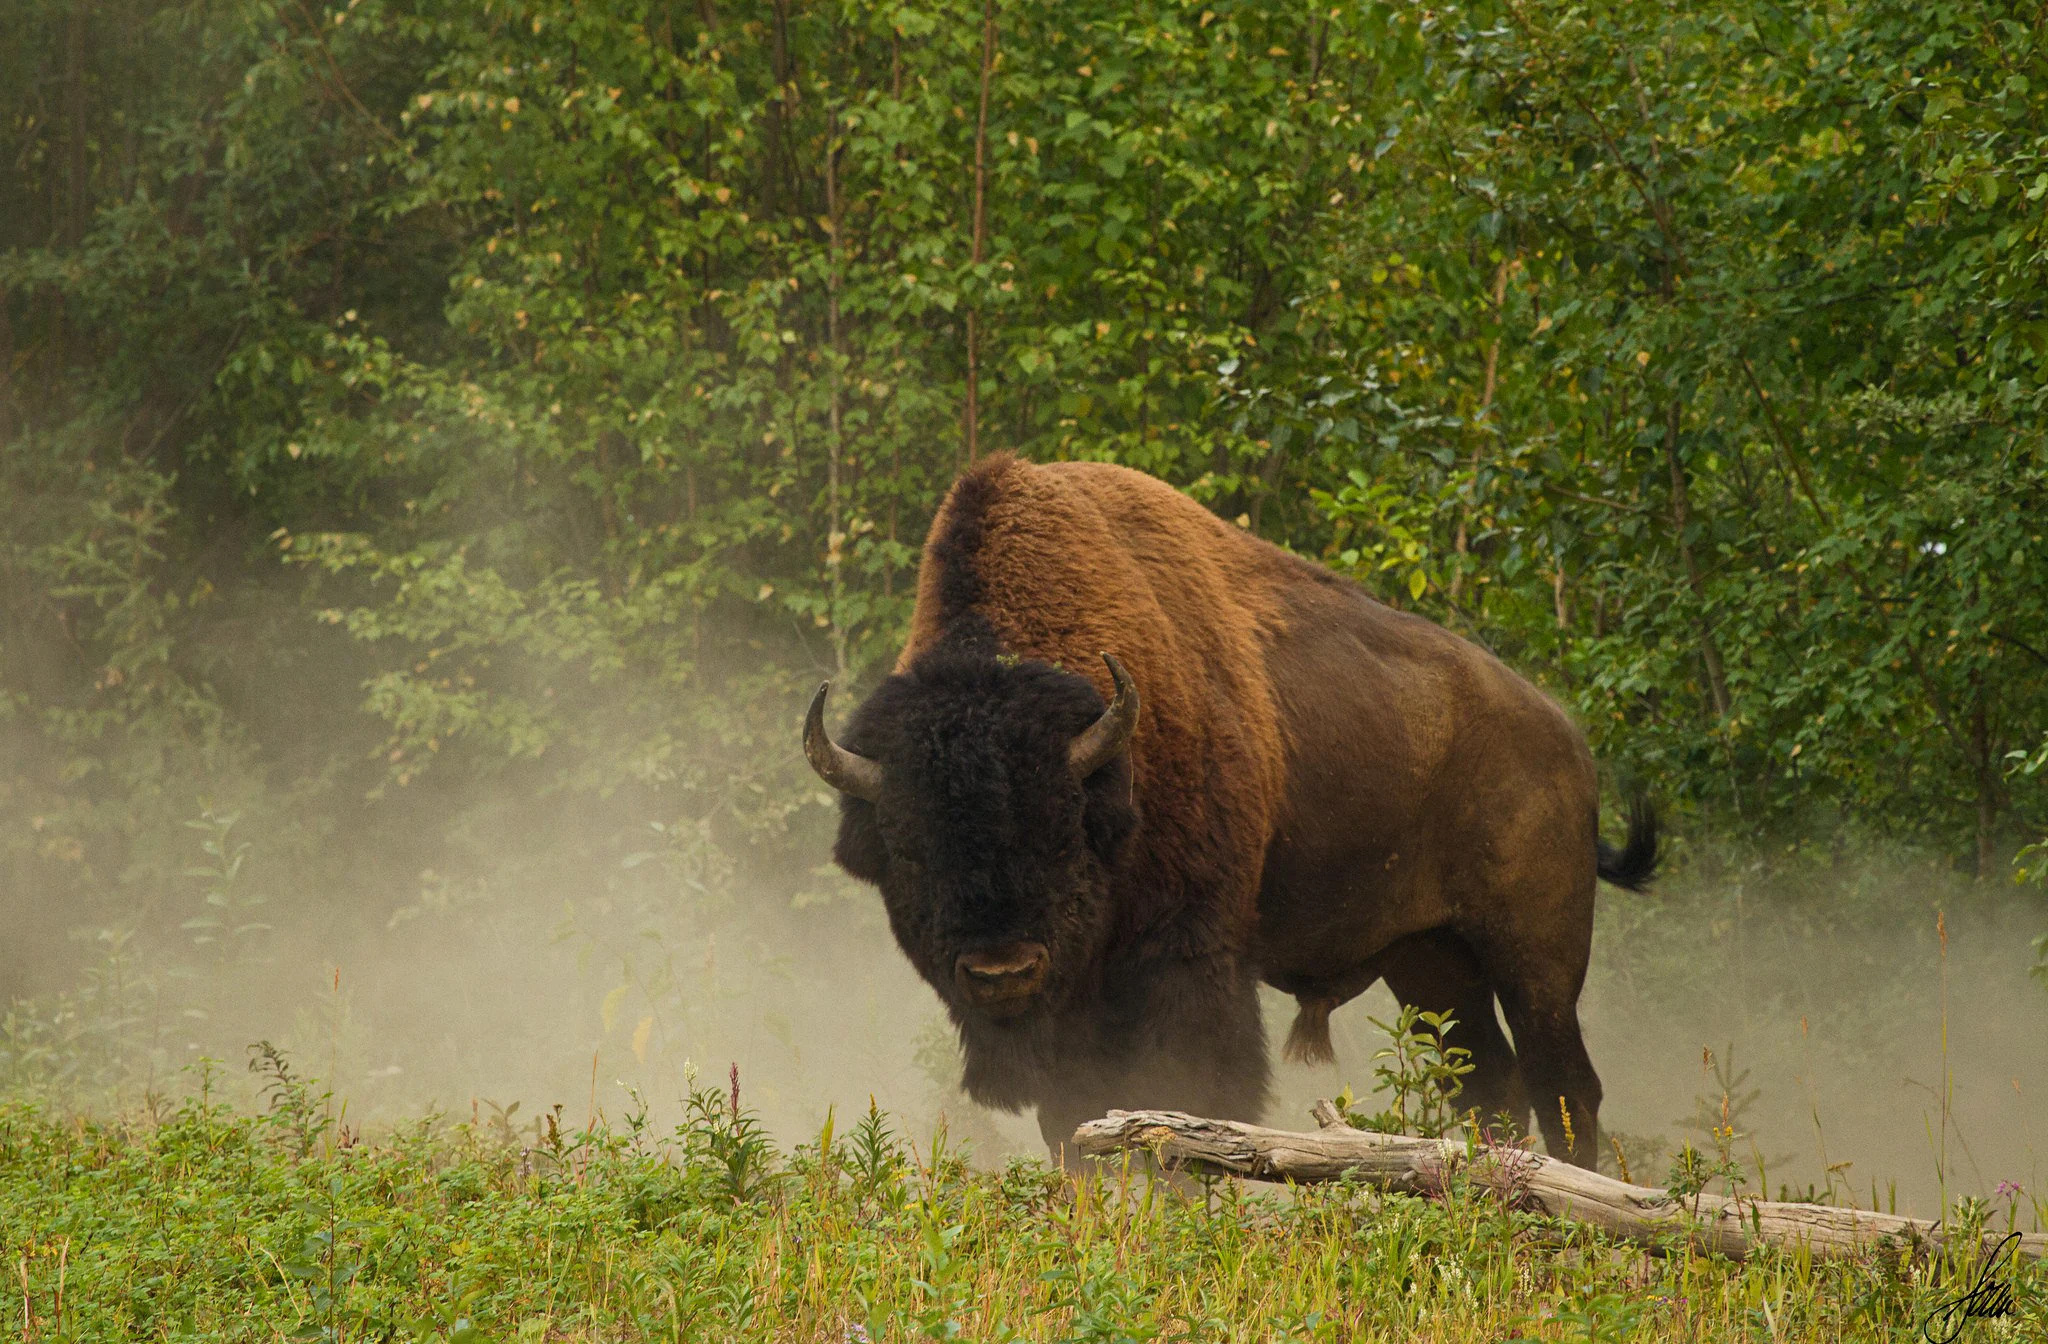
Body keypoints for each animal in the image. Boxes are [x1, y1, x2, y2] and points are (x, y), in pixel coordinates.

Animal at [798, 454, 1646, 1163]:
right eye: (911, 850)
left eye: (1062, 832)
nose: (1001, 969)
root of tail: (1567, 741)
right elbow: (1074, 1117)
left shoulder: (1188, 955)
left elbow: (1186, 1091)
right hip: (1428, 959)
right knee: (1487, 1080)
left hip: (1535, 956)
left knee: (1563, 1082)